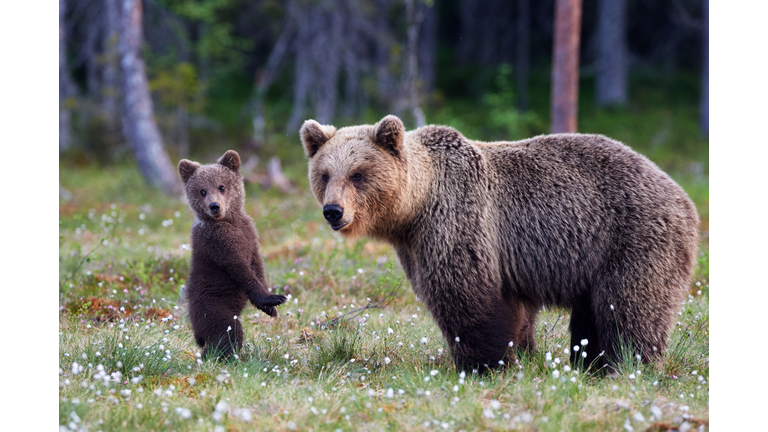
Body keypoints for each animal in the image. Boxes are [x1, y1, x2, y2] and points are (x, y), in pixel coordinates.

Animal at [177, 150, 287, 359]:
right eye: (202, 190)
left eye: (222, 186)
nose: (214, 206)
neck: (228, 221)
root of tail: (196, 330)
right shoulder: (219, 243)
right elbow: (240, 269)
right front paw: (274, 298)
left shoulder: (249, 235)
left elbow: (257, 265)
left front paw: (270, 308)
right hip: (212, 307)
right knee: (227, 331)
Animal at [300, 115, 699, 373]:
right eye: (325, 174)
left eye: (358, 174)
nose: (333, 211)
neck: (414, 209)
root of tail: (683, 196)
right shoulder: (418, 244)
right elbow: (514, 311)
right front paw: (520, 354)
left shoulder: (458, 223)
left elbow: (466, 297)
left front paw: (483, 364)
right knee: (593, 315)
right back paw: (591, 365)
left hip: (632, 239)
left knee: (628, 307)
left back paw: (627, 365)